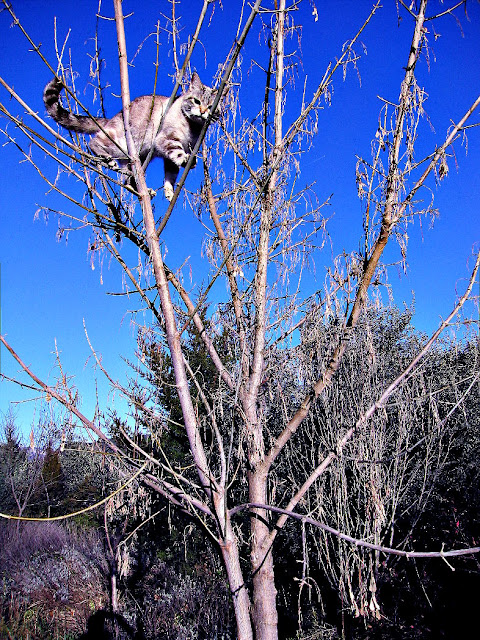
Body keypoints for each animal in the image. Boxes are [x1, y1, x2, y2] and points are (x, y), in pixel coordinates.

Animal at [43, 72, 219, 200]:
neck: (193, 127)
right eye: (196, 101)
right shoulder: (166, 139)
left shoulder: (169, 158)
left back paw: (143, 190)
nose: (203, 111)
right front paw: (186, 159)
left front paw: (169, 191)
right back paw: (106, 159)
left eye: (211, 106)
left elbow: (171, 175)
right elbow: (177, 152)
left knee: (127, 180)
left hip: (137, 159)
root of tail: (111, 119)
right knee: (94, 142)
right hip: (119, 142)